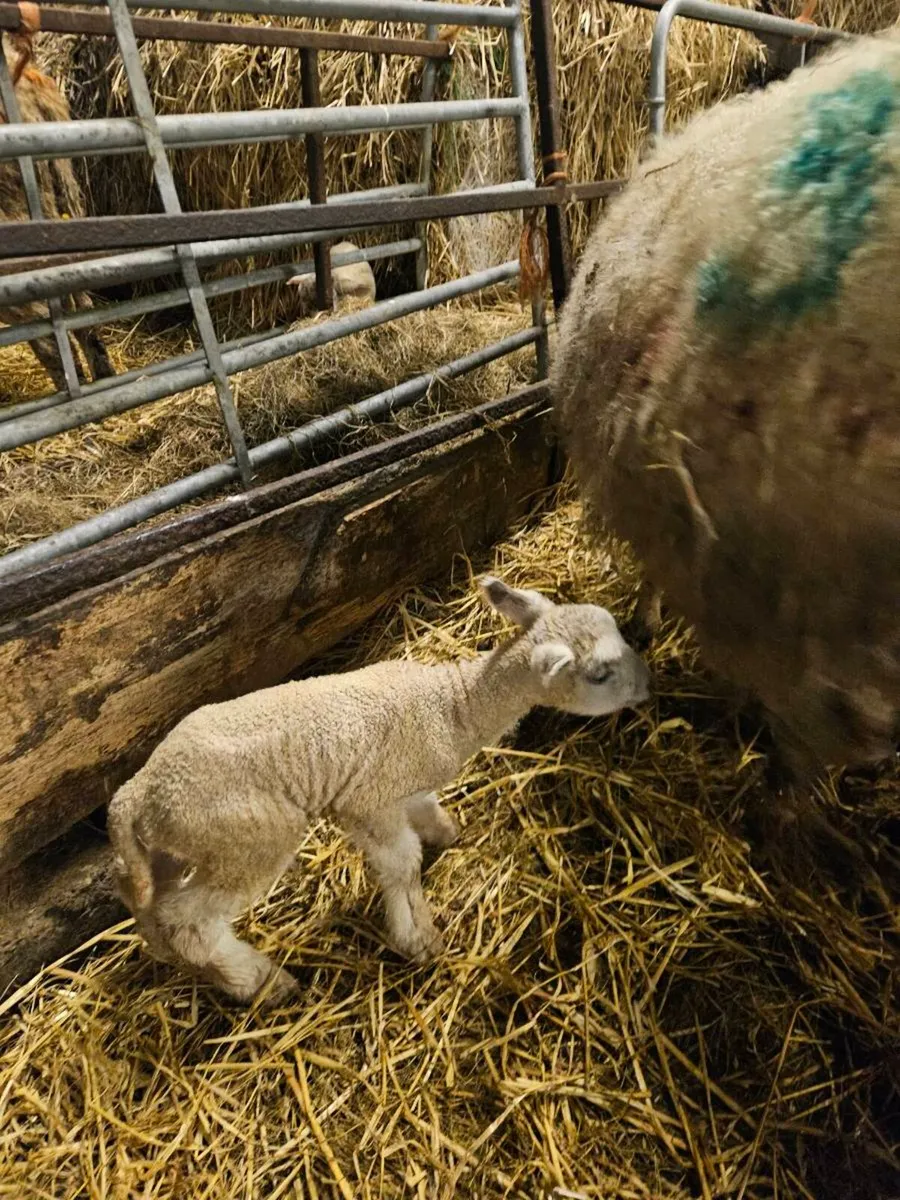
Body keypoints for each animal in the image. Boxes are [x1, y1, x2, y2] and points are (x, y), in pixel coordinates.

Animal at [108, 576, 650, 1005]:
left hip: (178, 843)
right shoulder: (368, 802)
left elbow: (427, 813)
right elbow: (402, 864)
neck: (452, 706)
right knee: (189, 923)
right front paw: (418, 939)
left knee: (147, 907)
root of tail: (137, 791)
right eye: (600, 674)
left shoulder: (403, 783)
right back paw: (261, 982)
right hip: (247, 838)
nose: (647, 686)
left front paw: (448, 835)